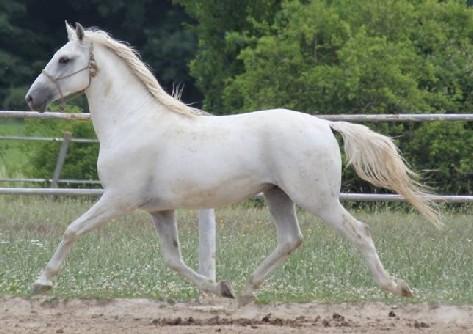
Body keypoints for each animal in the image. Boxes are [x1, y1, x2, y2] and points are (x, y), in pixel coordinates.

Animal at [24, 22, 438, 306]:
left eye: (65, 58)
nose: (32, 98)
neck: (133, 122)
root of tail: (323, 123)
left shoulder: (117, 199)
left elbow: (72, 231)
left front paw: (42, 283)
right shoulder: (159, 208)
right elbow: (173, 259)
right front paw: (219, 288)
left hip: (316, 198)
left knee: (358, 232)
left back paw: (396, 287)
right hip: (277, 195)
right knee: (291, 239)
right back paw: (247, 290)